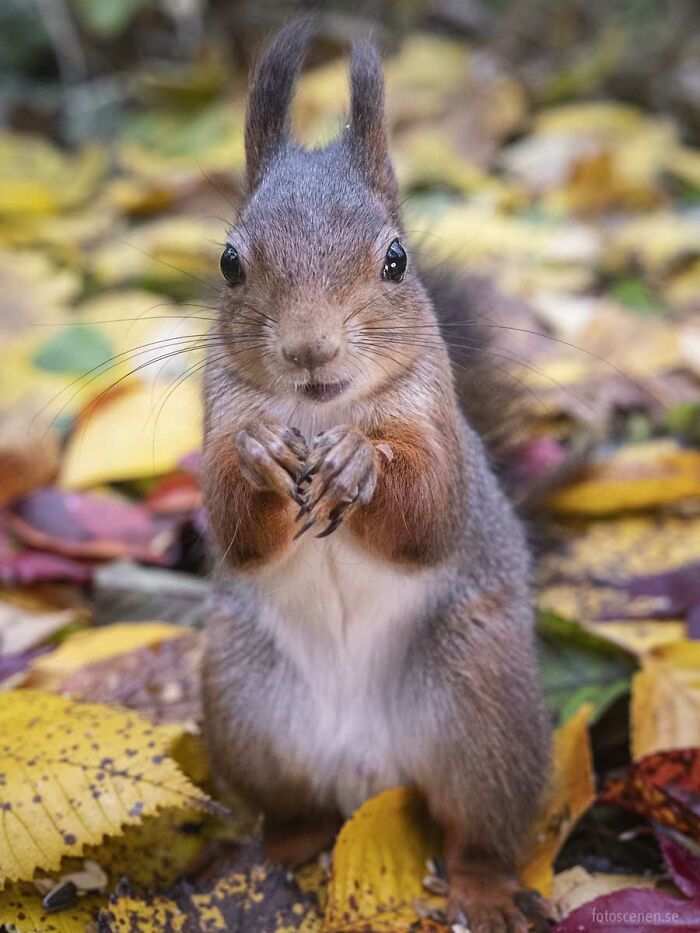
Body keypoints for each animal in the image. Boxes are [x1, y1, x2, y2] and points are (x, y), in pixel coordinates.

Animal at [201, 20, 551, 932]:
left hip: (483, 708)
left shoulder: (439, 428)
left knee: (478, 827)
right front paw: (257, 454)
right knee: (296, 804)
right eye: (229, 262)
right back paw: (279, 846)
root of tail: (371, 773)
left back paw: (484, 890)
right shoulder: (214, 413)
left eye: (396, 259)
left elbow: (431, 512)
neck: (322, 412)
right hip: (244, 704)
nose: (310, 347)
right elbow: (235, 529)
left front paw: (362, 461)